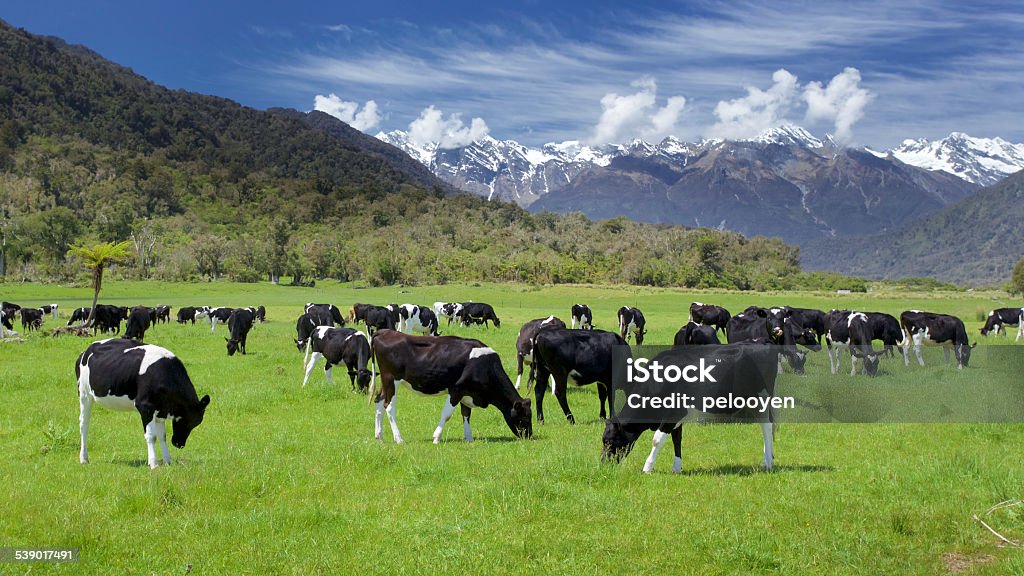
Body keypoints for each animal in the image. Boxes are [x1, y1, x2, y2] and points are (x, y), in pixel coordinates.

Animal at [77, 336, 211, 467]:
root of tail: (86, 351)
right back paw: (84, 458)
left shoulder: (161, 410)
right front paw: (154, 463)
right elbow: (151, 436)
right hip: (84, 394)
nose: (179, 444)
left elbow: (162, 436)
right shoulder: (145, 407)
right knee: (84, 424)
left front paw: (167, 461)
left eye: (195, 424)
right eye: (187, 421)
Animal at [368, 327, 532, 444]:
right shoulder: (456, 389)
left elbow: (466, 414)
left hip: (385, 381)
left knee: (378, 402)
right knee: (389, 406)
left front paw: (469, 438)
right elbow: (447, 414)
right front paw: (436, 437)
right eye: (524, 417)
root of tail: (385, 332)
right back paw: (399, 439)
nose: (529, 436)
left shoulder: (467, 392)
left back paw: (379, 436)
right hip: (391, 379)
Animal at [598, 340, 774, 471]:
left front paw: (647, 468)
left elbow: (657, 440)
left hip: (762, 398)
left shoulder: (673, 413)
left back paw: (767, 463)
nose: (603, 463)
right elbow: (677, 438)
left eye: (609, 441)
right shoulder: (675, 417)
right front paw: (676, 467)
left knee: (767, 426)